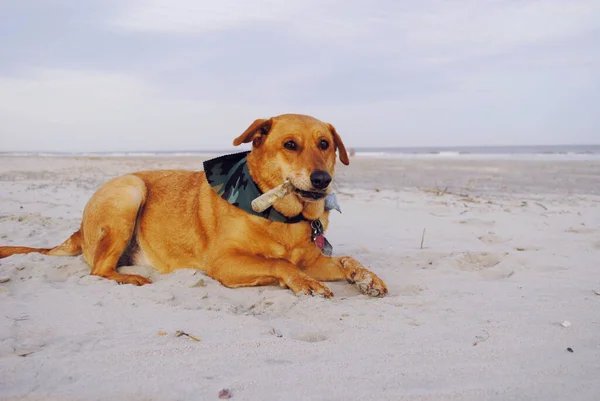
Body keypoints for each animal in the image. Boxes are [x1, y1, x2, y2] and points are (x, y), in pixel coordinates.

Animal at [0, 114, 390, 296]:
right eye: (290, 145)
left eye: (325, 144)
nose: (322, 180)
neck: (282, 217)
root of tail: (78, 231)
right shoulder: (224, 262)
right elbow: (279, 262)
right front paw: (302, 282)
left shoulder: (312, 259)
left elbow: (346, 260)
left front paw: (366, 276)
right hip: (129, 191)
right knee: (98, 270)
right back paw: (131, 279)